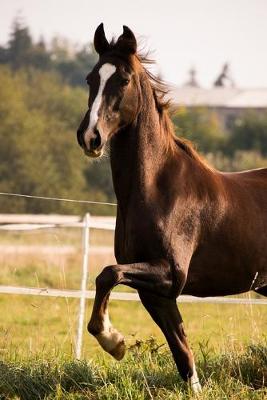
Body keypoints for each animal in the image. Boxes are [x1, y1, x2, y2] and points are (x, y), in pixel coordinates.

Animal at [77, 23, 267, 392]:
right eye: (91, 78)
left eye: (123, 80)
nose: (90, 137)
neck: (158, 190)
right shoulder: (158, 294)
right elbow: (182, 351)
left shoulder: (170, 274)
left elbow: (108, 274)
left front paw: (113, 342)